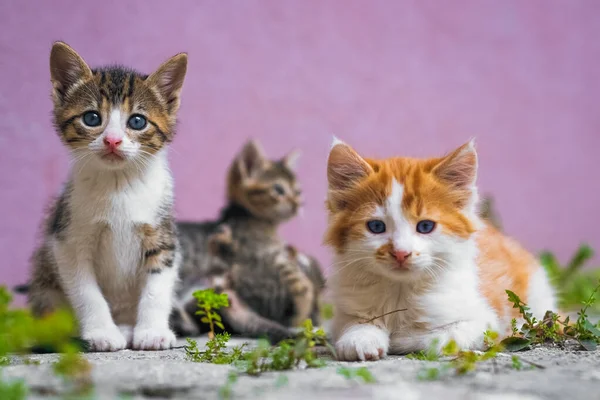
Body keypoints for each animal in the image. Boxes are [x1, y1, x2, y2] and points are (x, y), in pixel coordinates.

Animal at [27, 42, 188, 352]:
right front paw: (101, 332)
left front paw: (152, 332)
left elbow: (157, 288)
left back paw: (127, 328)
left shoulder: (163, 235)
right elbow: (86, 292)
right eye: (92, 118)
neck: (118, 184)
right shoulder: (67, 239)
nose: (112, 140)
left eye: (137, 121)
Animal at [171, 140, 326, 340]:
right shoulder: (271, 257)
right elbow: (302, 288)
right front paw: (303, 317)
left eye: (298, 192)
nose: (298, 204)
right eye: (278, 189)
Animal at [326, 139, 556, 360]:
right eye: (376, 226)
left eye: (425, 226)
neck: (400, 290)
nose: (401, 253)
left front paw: (401, 337)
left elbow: (439, 338)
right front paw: (360, 339)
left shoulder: (485, 322)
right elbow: (354, 323)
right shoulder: (346, 311)